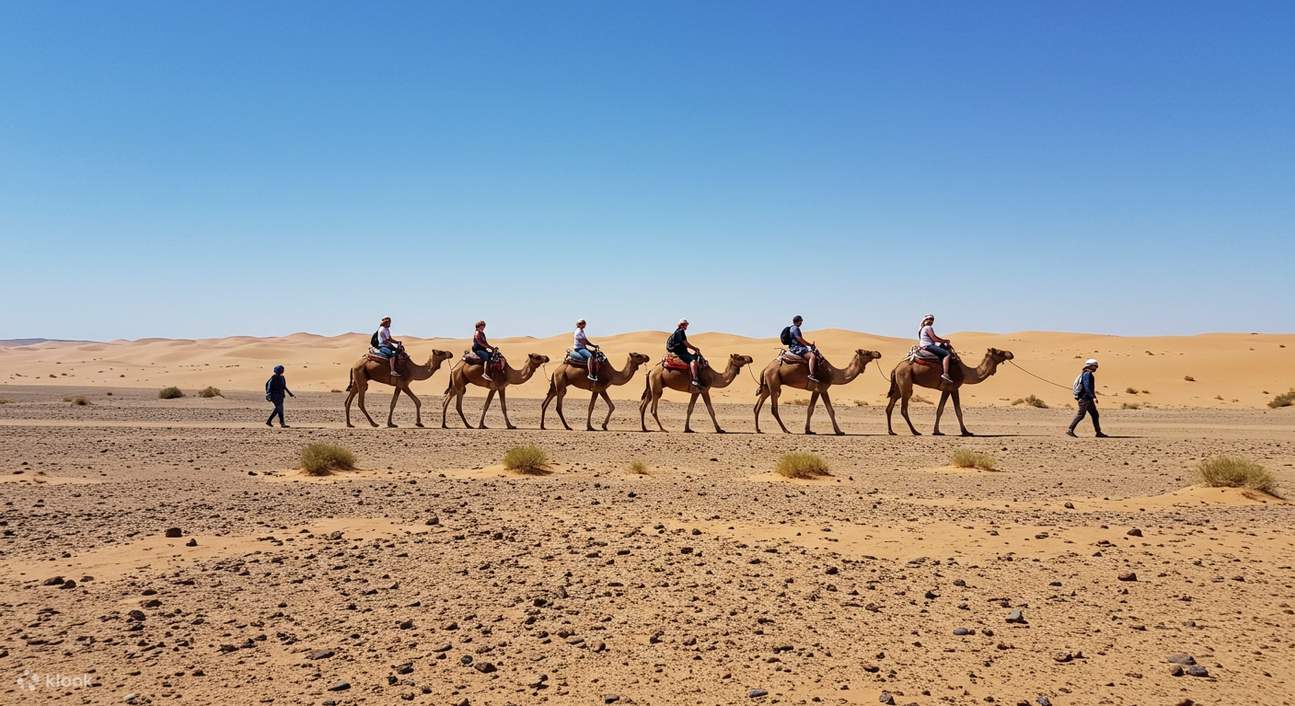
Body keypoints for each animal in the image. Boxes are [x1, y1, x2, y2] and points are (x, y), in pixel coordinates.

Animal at [753, 349, 883, 435]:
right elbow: (827, 410)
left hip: (768, 386)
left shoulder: (818, 390)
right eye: (866, 352)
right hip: (774, 383)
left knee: (757, 406)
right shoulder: (821, 388)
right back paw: (786, 430)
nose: (878, 353)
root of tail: (766, 368)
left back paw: (758, 429)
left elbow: (813, 409)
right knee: (774, 409)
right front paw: (839, 431)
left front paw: (809, 430)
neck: (832, 373)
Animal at [885, 347, 1014, 436]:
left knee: (890, 406)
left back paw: (891, 431)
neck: (965, 372)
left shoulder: (946, 389)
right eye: (999, 352)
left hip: (899, 385)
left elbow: (940, 410)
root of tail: (896, 368)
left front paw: (937, 431)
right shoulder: (953, 387)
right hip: (905, 381)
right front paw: (965, 431)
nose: (1010, 353)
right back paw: (915, 431)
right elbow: (957, 411)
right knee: (903, 408)